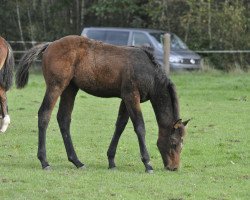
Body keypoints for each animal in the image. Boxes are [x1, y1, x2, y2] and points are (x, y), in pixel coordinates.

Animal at [15, 35, 188, 172]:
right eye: (173, 142)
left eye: (182, 143)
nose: (173, 167)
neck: (149, 73)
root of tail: (50, 45)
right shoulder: (131, 96)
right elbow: (140, 127)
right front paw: (147, 163)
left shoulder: (125, 99)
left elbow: (120, 126)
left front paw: (111, 161)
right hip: (56, 86)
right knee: (44, 114)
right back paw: (44, 161)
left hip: (70, 88)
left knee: (63, 118)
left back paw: (77, 161)